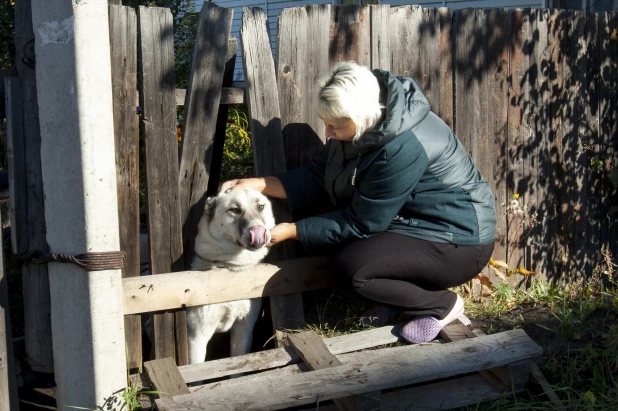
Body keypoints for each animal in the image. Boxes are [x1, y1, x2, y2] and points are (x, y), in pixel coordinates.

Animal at [185, 188, 274, 366]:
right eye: (235, 210)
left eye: (260, 207)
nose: (259, 229)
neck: (229, 270)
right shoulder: (197, 336)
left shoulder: (244, 329)